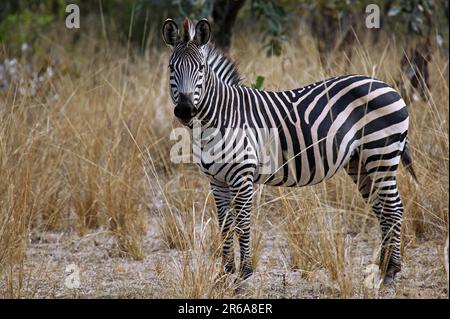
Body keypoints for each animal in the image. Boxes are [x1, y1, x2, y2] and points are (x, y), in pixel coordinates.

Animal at [163, 17, 418, 284]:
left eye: (201, 68)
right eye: (171, 68)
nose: (185, 110)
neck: (221, 116)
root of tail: (389, 87)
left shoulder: (242, 175)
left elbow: (242, 222)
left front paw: (244, 275)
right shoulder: (216, 179)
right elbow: (225, 224)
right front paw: (225, 273)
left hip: (381, 154)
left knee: (394, 208)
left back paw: (392, 271)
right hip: (359, 161)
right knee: (382, 209)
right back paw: (382, 267)